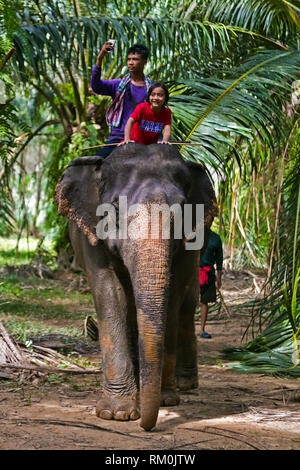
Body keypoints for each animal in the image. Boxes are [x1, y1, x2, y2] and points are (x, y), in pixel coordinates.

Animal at [54, 142, 218, 430]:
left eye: (182, 211)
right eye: (114, 210)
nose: (145, 425)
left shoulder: (190, 240)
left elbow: (173, 296)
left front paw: (165, 400)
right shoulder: (91, 235)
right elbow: (109, 294)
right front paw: (117, 413)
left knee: (186, 306)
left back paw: (184, 384)